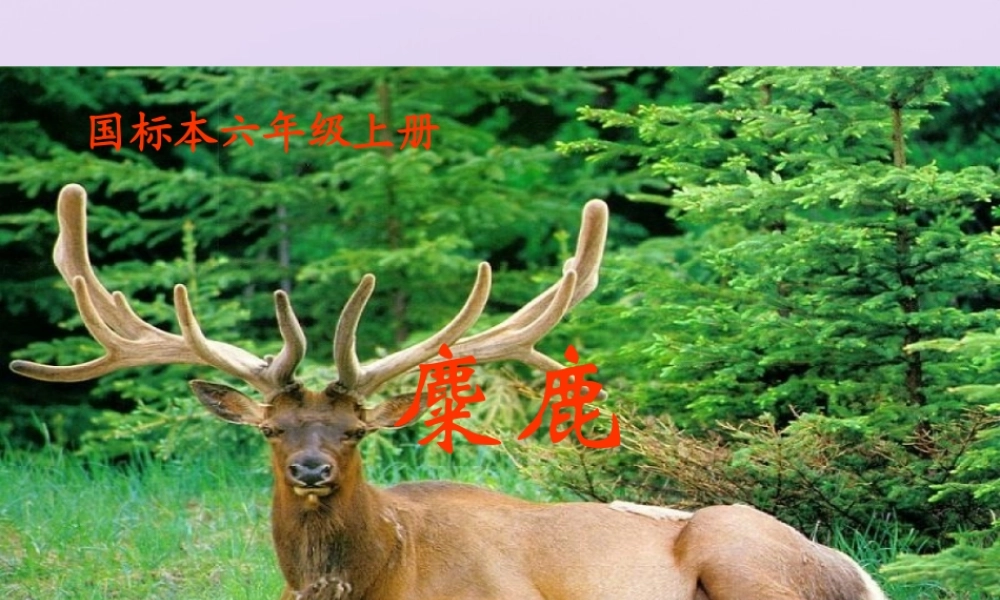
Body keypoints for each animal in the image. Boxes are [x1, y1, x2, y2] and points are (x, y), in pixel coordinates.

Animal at [11, 183, 888, 600]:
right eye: (272, 429)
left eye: (356, 430)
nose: (310, 469)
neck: (370, 579)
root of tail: (857, 573)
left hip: (743, 558)